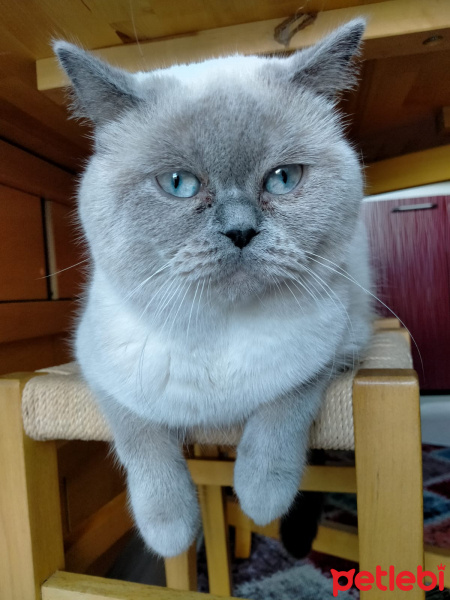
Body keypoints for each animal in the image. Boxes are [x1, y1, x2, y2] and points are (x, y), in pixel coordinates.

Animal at [54, 19, 372, 556]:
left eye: (282, 178)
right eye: (178, 183)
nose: (240, 231)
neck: (220, 332)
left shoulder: (341, 343)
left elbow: (284, 405)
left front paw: (261, 497)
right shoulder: (98, 371)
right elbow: (141, 437)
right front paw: (171, 532)